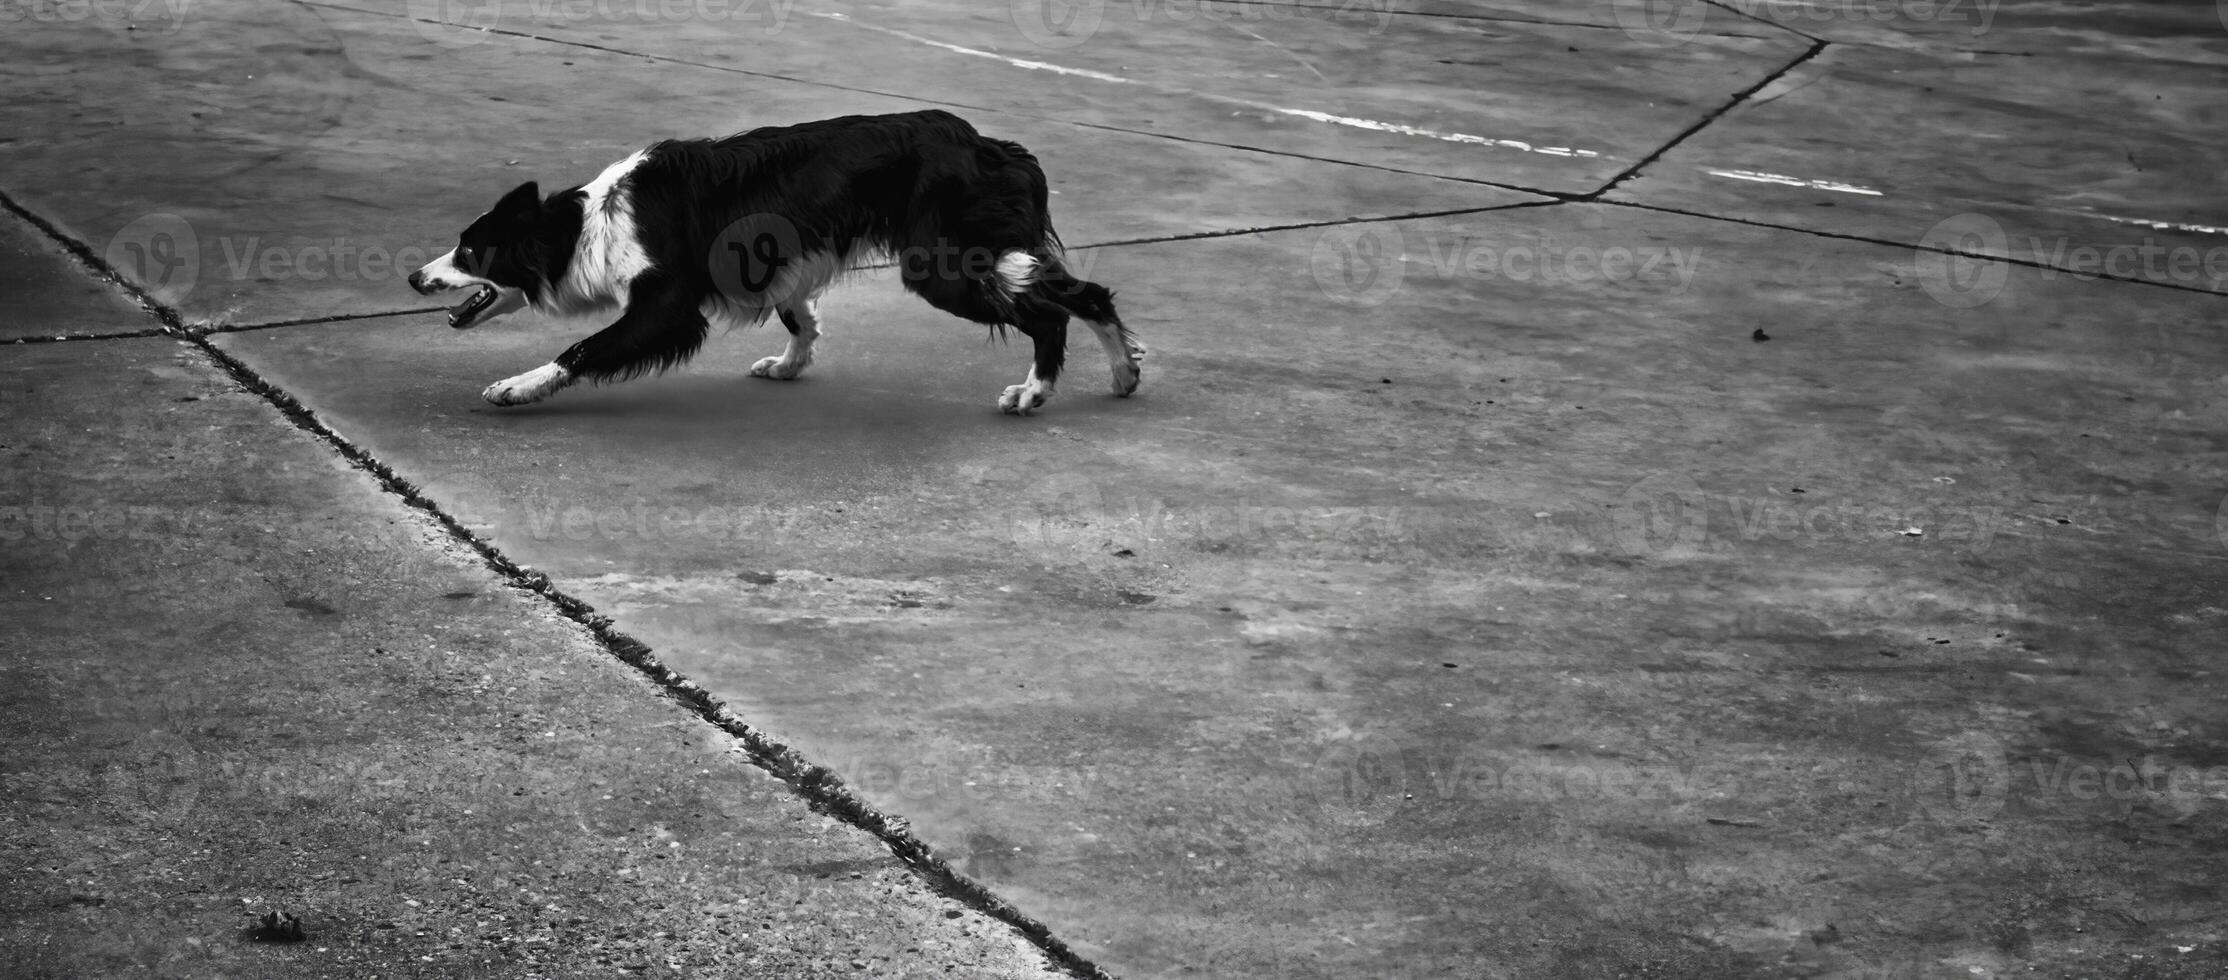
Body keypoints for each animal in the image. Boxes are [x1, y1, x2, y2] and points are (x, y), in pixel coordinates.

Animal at [405, 109, 1149, 414]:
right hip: (978, 254)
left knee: (1051, 313)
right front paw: (792, 364)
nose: (414, 276)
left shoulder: (668, 305)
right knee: (1089, 292)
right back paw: (1122, 373)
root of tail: (994, 146)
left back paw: (1034, 391)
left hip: (940, 267)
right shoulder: (778, 262)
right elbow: (798, 315)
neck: (583, 226)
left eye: (468, 251)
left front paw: (518, 387)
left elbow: (582, 348)